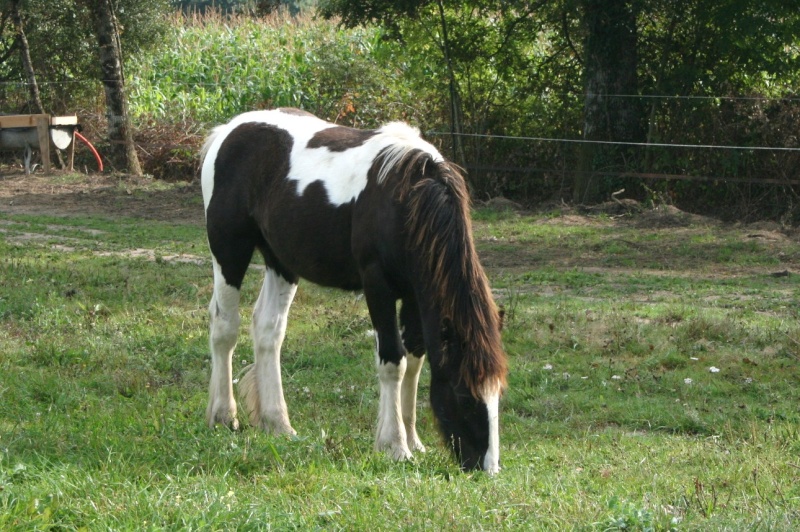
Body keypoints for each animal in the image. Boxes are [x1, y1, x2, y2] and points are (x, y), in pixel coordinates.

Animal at [203, 108, 510, 474]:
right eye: (465, 396)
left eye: (497, 394)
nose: (488, 469)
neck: (407, 197)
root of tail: (229, 130)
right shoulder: (377, 285)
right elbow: (393, 361)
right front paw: (394, 446)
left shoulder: (414, 292)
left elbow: (415, 361)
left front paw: (413, 440)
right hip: (229, 250)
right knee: (224, 327)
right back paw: (224, 416)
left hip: (281, 262)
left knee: (268, 331)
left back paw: (278, 423)